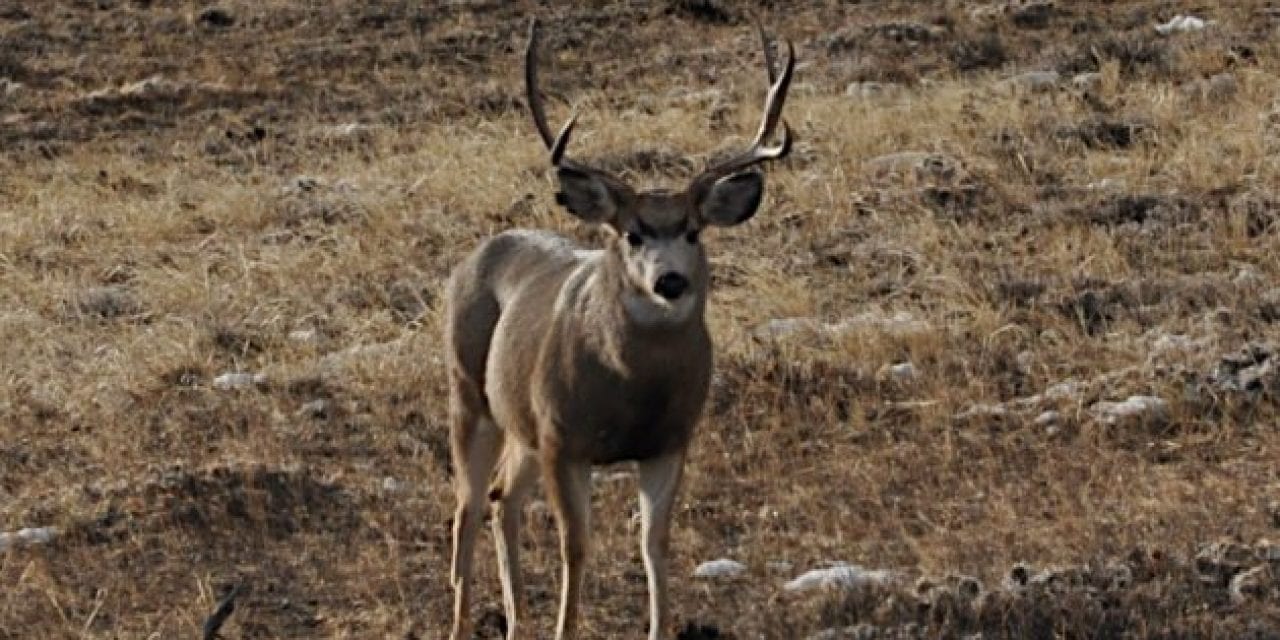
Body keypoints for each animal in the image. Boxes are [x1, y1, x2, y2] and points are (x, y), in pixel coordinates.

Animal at [445, 18, 793, 640]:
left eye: (692, 231)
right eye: (632, 233)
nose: (670, 280)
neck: (633, 390)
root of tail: (475, 255)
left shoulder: (669, 442)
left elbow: (655, 544)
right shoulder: (564, 440)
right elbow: (576, 547)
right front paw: (566, 628)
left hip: (522, 424)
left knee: (502, 497)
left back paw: (516, 621)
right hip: (467, 394)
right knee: (466, 506)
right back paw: (464, 621)